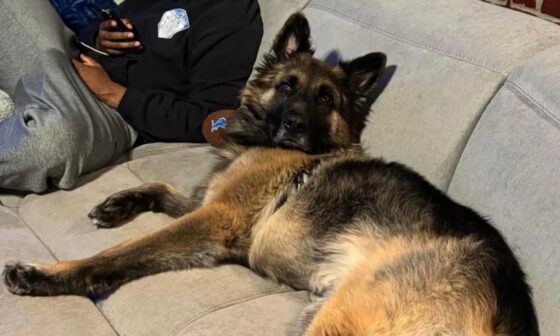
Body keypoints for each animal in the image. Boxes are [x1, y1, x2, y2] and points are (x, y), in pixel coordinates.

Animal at [4, 13, 540, 336]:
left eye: (325, 98)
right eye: (287, 86)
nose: (295, 126)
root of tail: (512, 305)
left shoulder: (215, 219)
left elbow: (120, 253)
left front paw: (45, 275)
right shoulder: (212, 206)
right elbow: (160, 188)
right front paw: (117, 204)